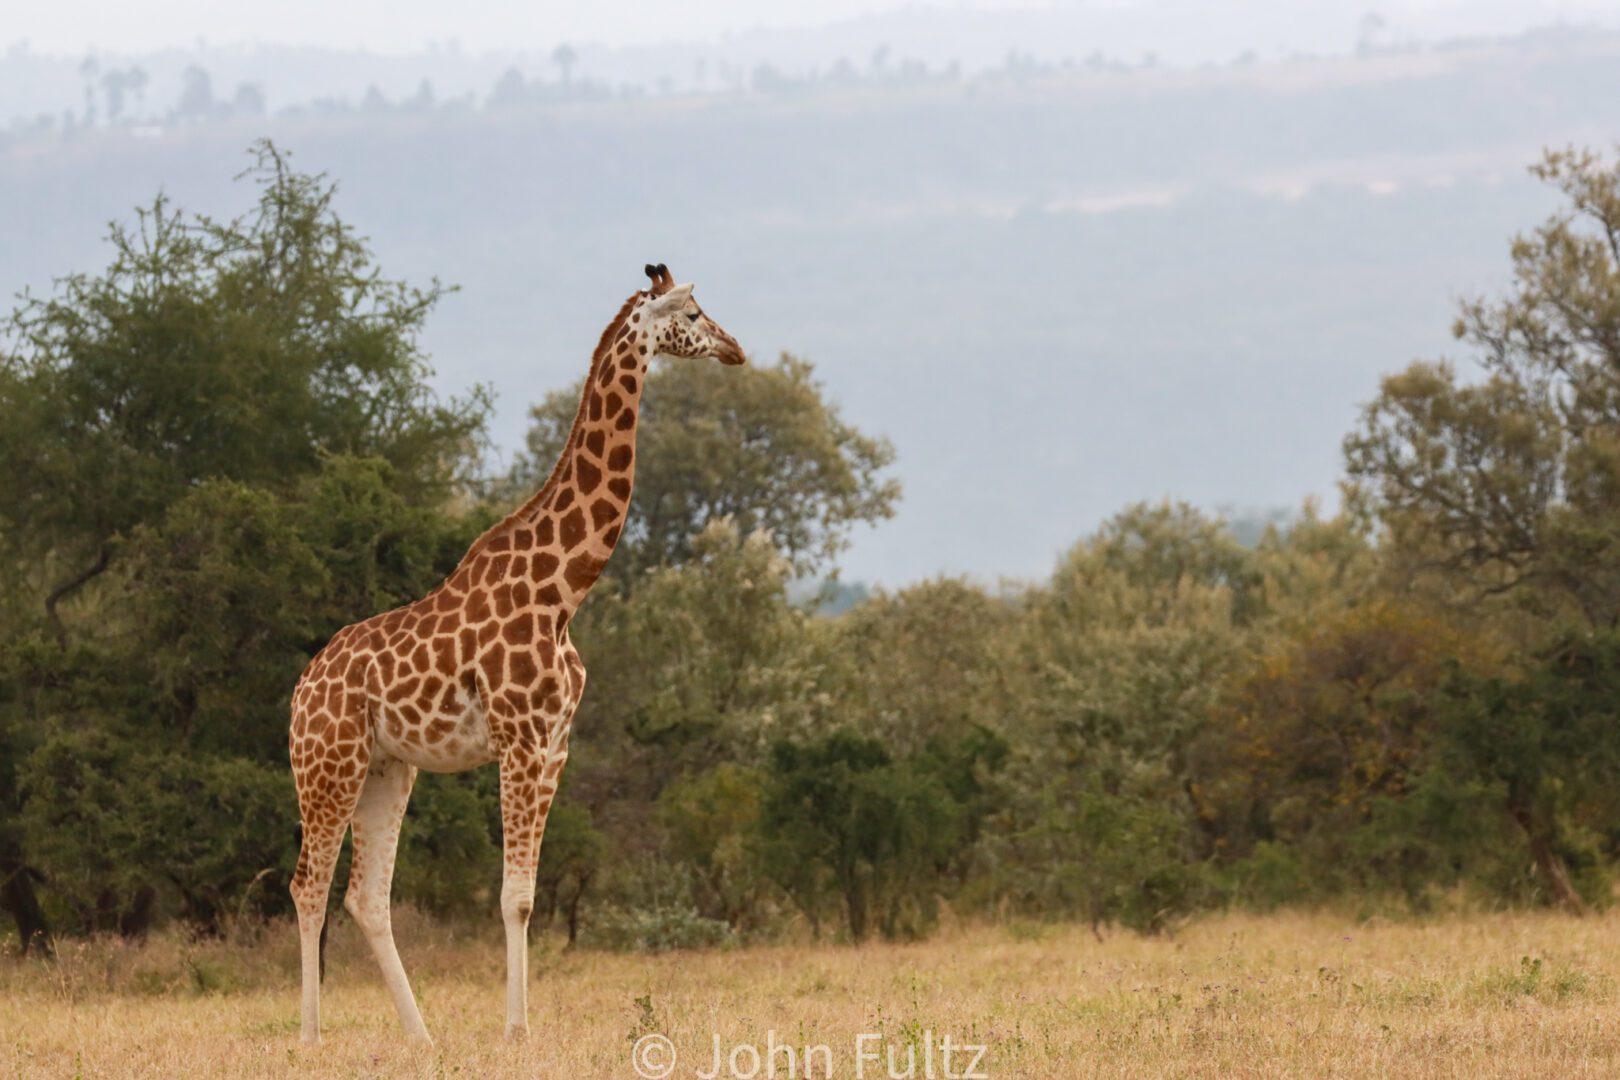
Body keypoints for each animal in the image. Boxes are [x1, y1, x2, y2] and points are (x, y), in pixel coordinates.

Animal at [288, 263, 741, 1049]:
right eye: (691, 312)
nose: (736, 349)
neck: (565, 590)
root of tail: (298, 693)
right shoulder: (519, 739)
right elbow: (513, 898)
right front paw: (517, 1031)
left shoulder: (556, 742)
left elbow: (525, 894)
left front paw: (516, 1026)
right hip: (328, 765)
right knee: (307, 884)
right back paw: (313, 1038)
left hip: (387, 768)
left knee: (365, 896)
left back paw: (421, 1038)